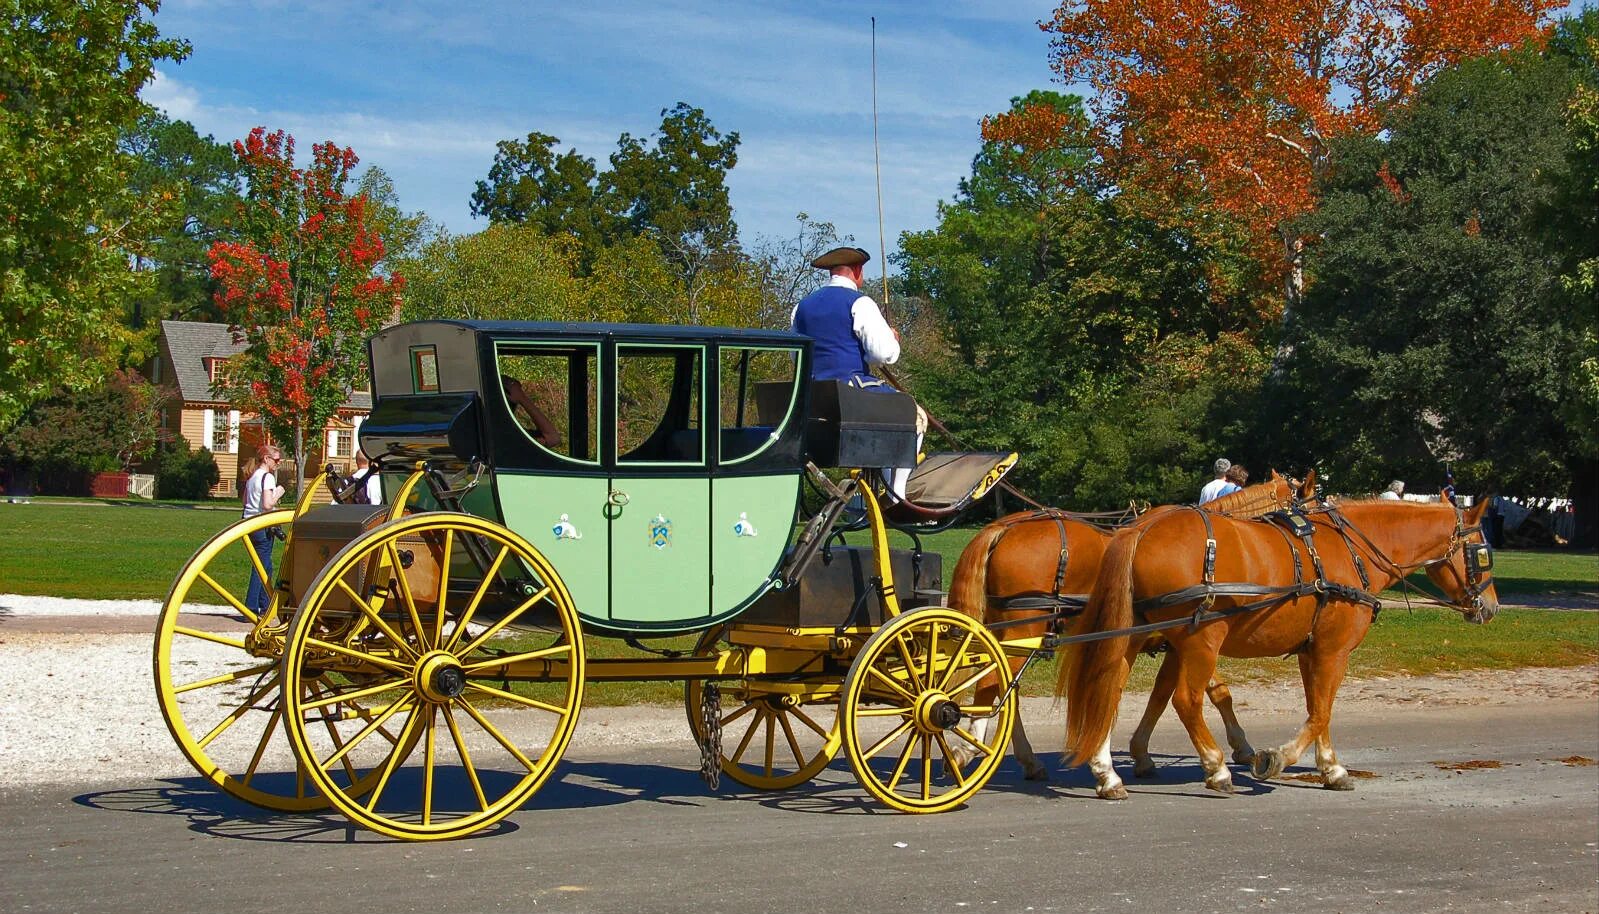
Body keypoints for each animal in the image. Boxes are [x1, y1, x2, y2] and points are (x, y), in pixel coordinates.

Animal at [946, 469, 1311, 779]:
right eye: (1306, 503)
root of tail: (1003, 527)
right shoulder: (1190, 638)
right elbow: (1209, 694)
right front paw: (1240, 749)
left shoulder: (1178, 643)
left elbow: (1164, 694)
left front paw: (1141, 753)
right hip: (1024, 630)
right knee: (993, 683)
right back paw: (977, 748)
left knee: (1003, 688)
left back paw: (1019, 758)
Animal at [1061, 495, 1496, 795]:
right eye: (1482, 553)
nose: (1490, 607)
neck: (1350, 551)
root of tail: (1141, 528)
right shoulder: (1333, 651)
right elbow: (1321, 711)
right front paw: (1281, 759)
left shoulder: (1310, 650)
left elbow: (1317, 708)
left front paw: (1329, 767)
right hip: (1201, 639)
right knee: (1186, 700)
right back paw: (1216, 767)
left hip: (1133, 636)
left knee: (1109, 690)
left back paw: (1106, 773)